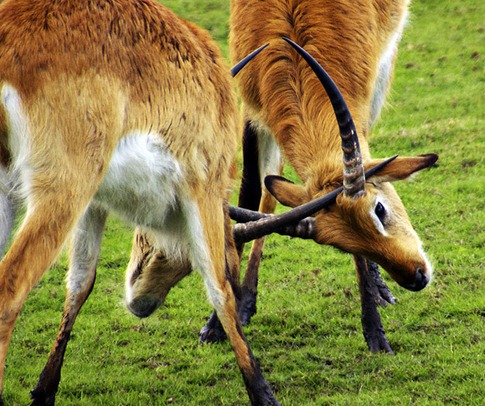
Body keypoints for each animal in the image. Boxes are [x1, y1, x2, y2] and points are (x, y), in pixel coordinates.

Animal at [0, 1, 278, 404]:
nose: (143, 306)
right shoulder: (204, 188)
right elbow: (220, 286)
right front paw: (263, 392)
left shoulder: (94, 202)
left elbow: (81, 282)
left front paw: (44, 391)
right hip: (61, 191)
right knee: (9, 290)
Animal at [199, 0, 436, 350]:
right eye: (343, 245)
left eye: (379, 208)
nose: (417, 277)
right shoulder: (251, 112)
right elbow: (252, 194)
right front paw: (219, 322)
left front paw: (375, 333)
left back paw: (380, 292)